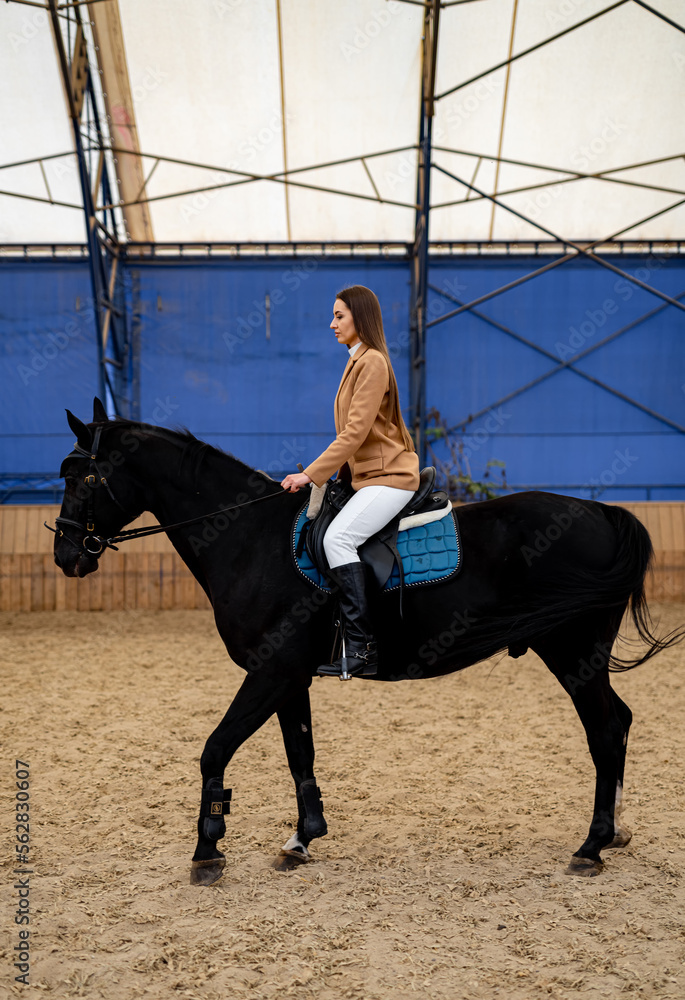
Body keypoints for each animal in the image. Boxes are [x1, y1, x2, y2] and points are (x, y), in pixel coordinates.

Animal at [52, 398, 680, 884]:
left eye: (82, 477)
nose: (65, 555)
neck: (250, 537)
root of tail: (601, 512)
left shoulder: (270, 672)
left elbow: (215, 747)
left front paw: (208, 849)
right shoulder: (289, 677)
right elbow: (299, 752)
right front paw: (302, 839)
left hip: (573, 653)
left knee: (605, 732)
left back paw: (590, 847)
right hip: (581, 657)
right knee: (620, 722)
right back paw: (615, 833)